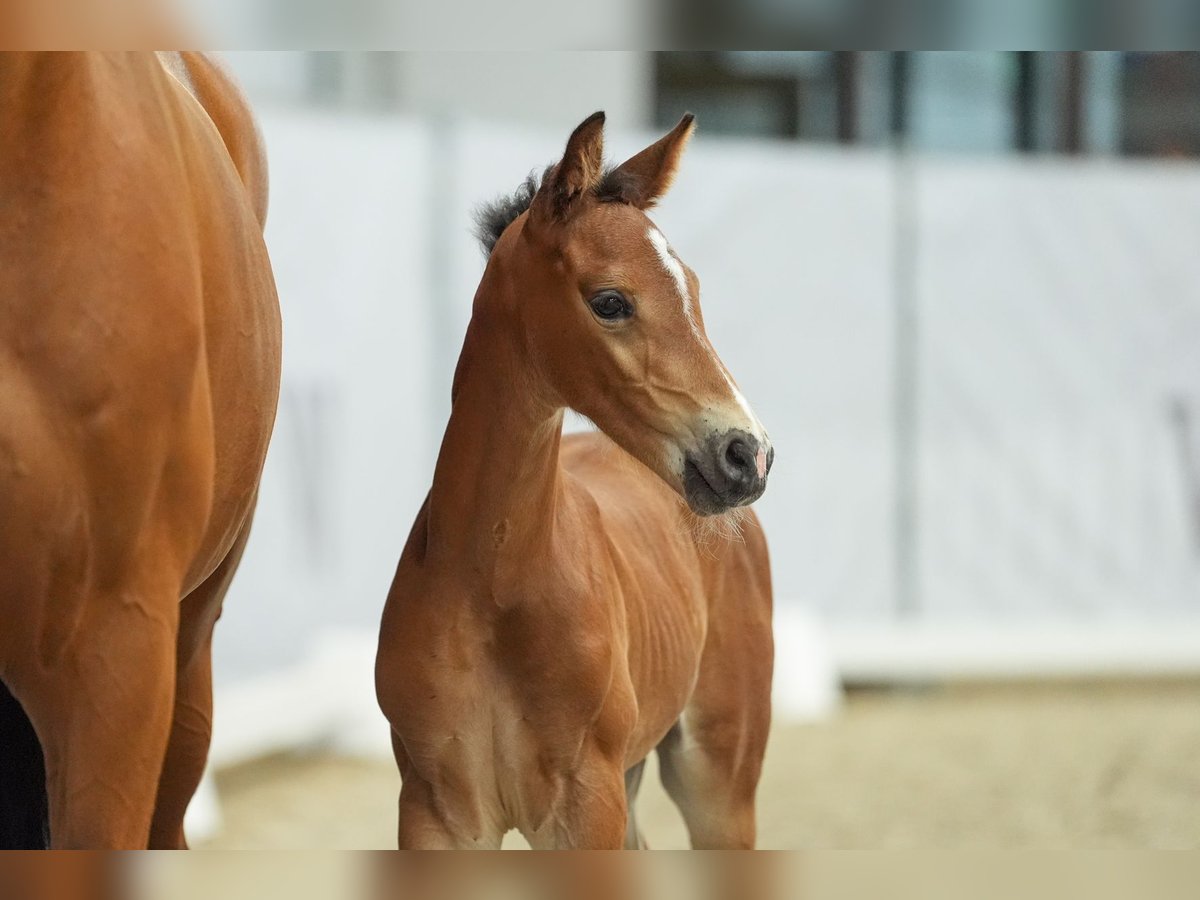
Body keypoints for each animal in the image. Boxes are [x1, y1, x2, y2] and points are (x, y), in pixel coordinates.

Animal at [374, 109, 777, 849]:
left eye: (693, 291)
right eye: (610, 301)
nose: (747, 455)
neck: (488, 588)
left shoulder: (585, 808)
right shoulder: (435, 813)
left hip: (717, 780)